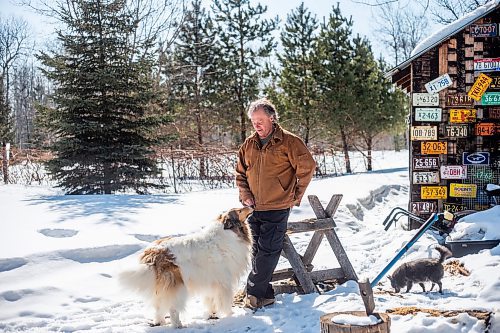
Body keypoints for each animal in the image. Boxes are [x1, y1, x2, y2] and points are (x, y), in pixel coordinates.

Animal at [119, 206, 254, 328]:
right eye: (239, 210)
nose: (251, 206)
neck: (228, 231)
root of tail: (153, 253)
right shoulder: (224, 282)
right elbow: (225, 301)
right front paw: (230, 314)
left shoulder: (211, 281)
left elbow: (210, 300)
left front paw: (212, 314)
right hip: (178, 287)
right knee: (173, 308)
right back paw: (178, 325)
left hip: (162, 289)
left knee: (159, 307)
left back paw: (160, 322)